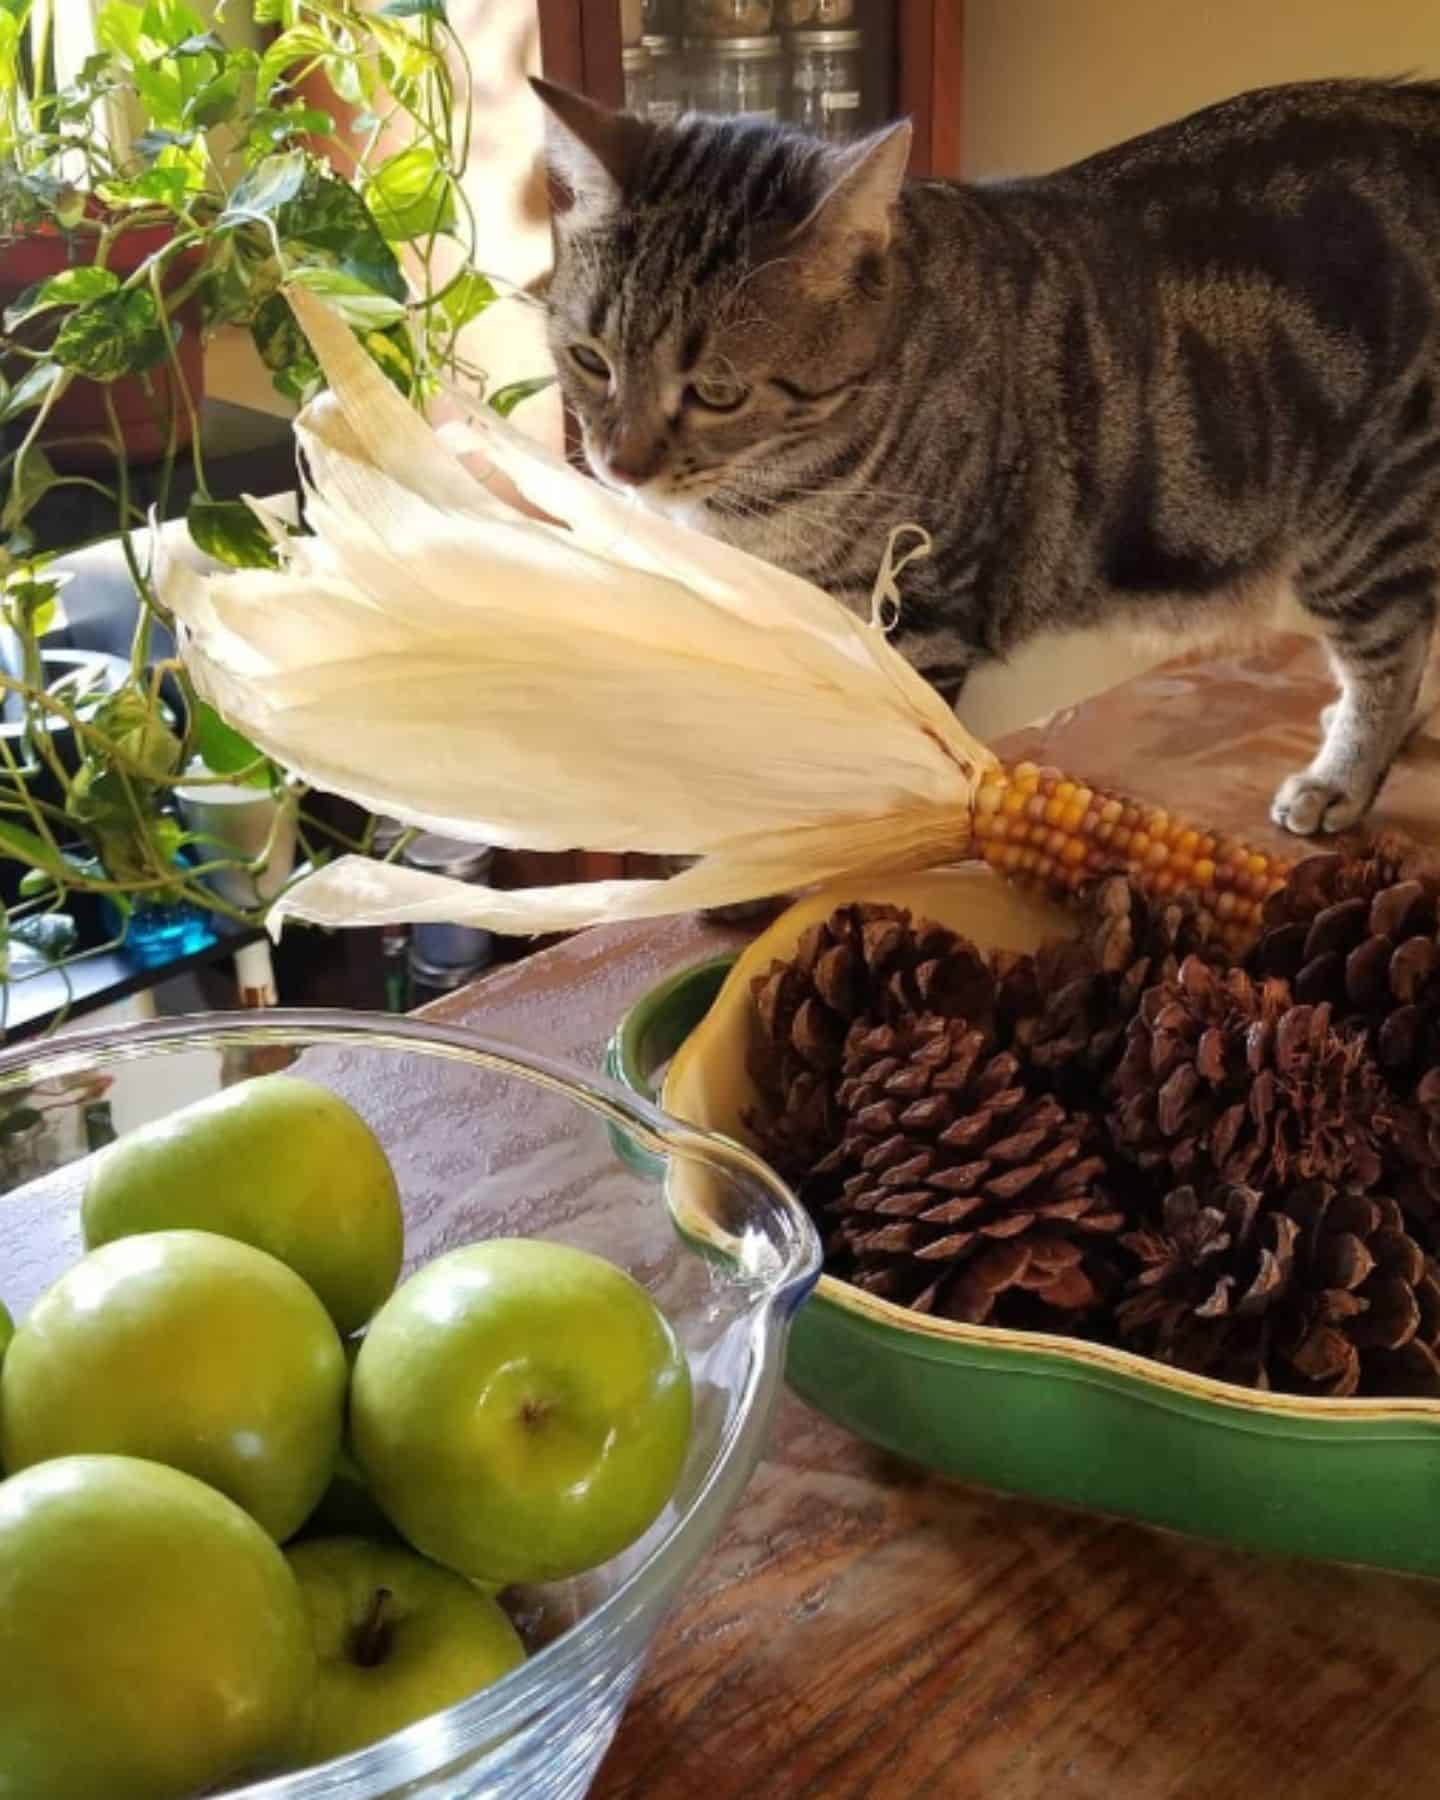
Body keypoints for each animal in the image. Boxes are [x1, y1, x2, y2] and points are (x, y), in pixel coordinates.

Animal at [532, 77, 1440, 835]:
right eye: (590, 360)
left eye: (717, 393)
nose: (618, 466)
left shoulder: (916, 613)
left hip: (1367, 528)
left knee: (1392, 655)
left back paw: (1343, 775)